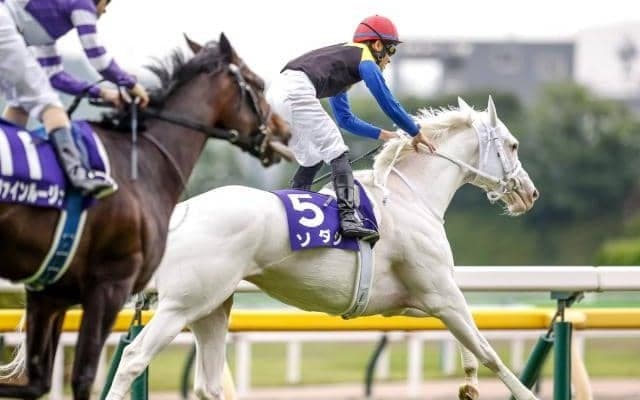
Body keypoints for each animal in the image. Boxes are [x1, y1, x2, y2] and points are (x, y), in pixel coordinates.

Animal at [0, 33, 290, 400]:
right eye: (258, 84)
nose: (284, 131)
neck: (140, 160)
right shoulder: (109, 284)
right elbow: (84, 376)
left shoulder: (50, 291)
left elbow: (34, 383)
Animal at [105, 97, 541, 400]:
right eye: (514, 145)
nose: (530, 193)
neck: (408, 197)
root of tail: (179, 212)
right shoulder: (439, 292)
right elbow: (487, 350)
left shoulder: (413, 299)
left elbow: (467, 340)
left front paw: (468, 382)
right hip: (182, 304)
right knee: (132, 359)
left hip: (212, 306)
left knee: (208, 384)